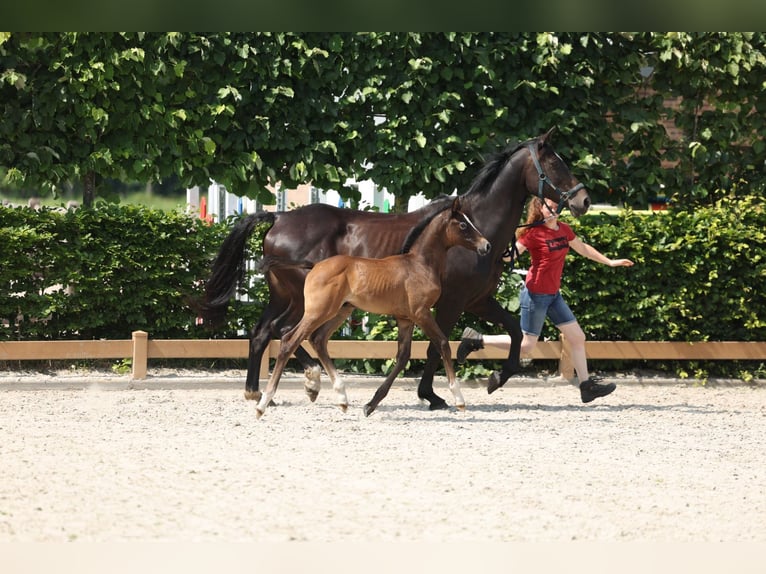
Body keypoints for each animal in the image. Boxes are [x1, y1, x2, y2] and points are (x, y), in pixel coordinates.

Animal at [253, 197, 491, 418]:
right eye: (463, 224)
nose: (486, 245)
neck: (419, 265)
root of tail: (314, 265)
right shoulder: (421, 313)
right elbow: (442, 344)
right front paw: (458, 399)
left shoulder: (405, 319)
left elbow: (403, 356)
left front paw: (370, 404)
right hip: (317, 311)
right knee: (289, 340)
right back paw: (263, 403)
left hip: (341, 310)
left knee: (317, 339)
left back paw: (341, 398)